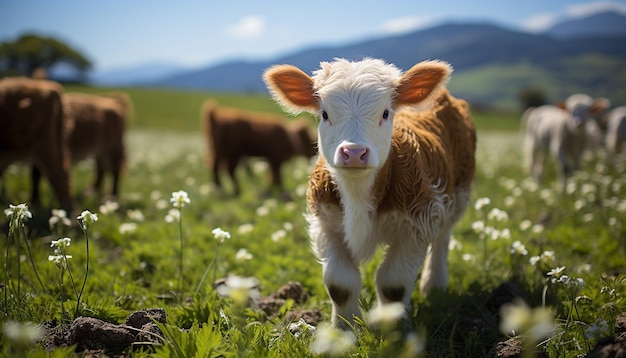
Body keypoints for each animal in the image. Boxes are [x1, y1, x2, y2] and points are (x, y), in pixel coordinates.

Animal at [262, 56, 472, 328]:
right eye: (324, 114)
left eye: (385, 112)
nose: (353, 152)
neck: (358, 196)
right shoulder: (324, 224)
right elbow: (340, 284)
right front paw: (343, 330)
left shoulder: (419, 222)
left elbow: (393, 285)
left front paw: (393, 328)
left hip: (459, 192)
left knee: (443, 238)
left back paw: (434, 286)